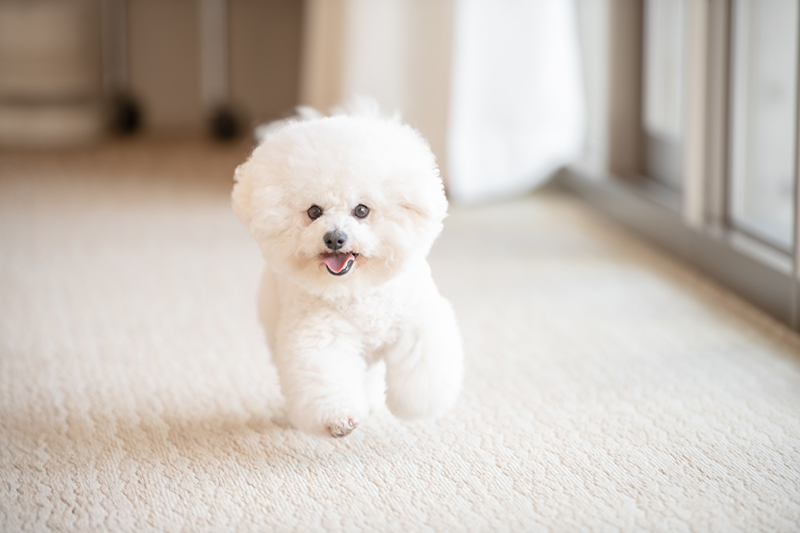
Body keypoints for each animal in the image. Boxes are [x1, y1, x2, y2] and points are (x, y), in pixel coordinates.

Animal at [232, 104, 464, 438]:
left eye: (361, 210)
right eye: (314, 211)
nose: (335, 238)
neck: (358, 291)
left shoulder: (416, 323)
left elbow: (422, 369)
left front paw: (413, 406)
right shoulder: (320, 338)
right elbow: (326, 379)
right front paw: (339, 420)